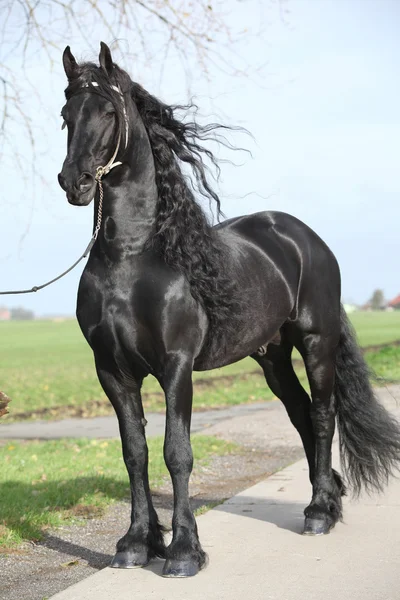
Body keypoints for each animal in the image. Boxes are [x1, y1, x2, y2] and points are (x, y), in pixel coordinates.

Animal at [57, 42, 400, 576]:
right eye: (66, 114)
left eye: (109, 113)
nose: (73, 182)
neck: (131, 259)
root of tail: (306, 238)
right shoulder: (112, 370)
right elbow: (135, 453)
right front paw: (136, 543)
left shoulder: (176, 367)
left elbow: (177, 452)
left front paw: (183, 551)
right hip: (272, 356)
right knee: (300, 414)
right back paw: (327, 498)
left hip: (316, 342)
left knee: (322, 415)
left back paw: (319, 513)